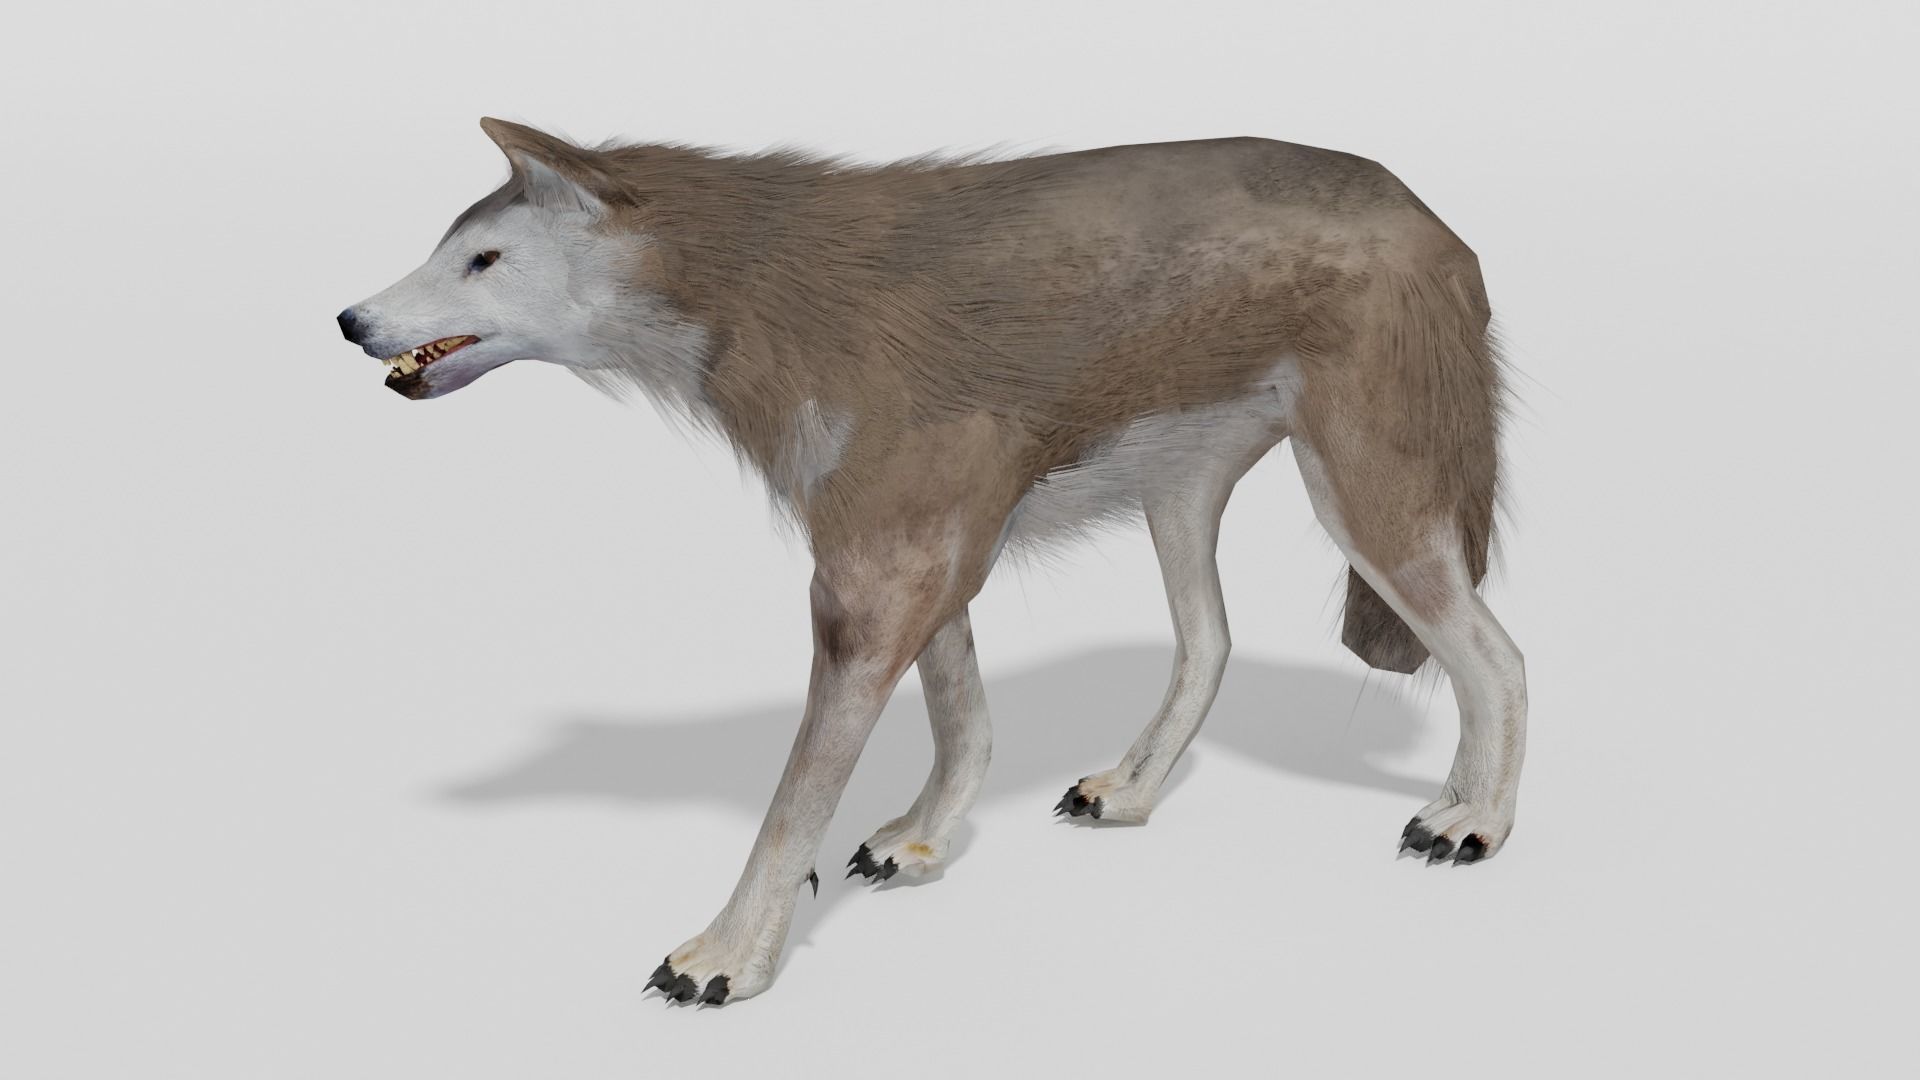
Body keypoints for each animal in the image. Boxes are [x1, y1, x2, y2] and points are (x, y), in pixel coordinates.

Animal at [339, 118, 1527, 1005]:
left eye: (481, 261)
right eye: (445, 248)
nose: (351, 319)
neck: (772, 297)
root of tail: (1430, 216)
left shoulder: (877, 575)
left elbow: (792, 805)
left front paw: (729, 956)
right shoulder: (915, 558)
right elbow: (967, 725)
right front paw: (920, 840)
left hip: (1367, 504)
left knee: (1500, 659)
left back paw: (1470, 821)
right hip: (1180, 496)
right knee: (1211, 644)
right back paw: (1130, 792)